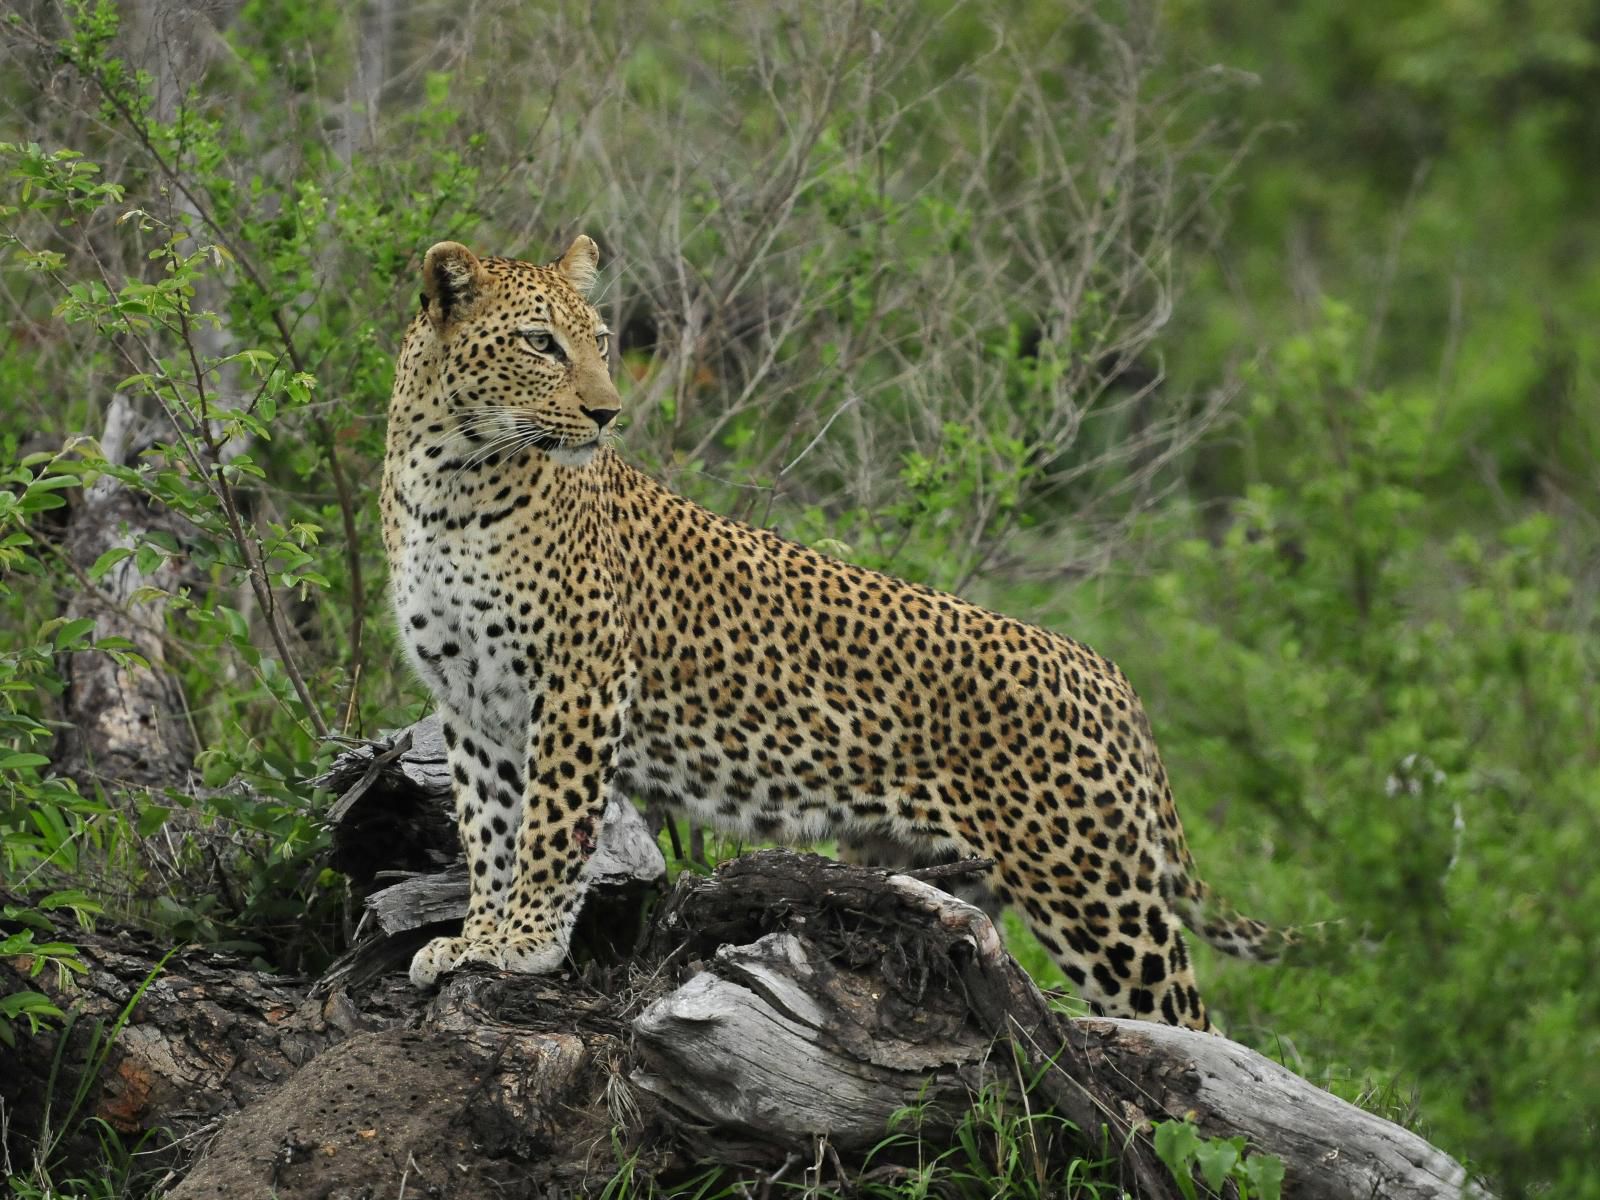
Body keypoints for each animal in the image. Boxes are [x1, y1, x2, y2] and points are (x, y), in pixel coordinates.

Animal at [380, 235, 1292, 1036]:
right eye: (541, 343)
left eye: (599, 342)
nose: (608, 412)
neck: (448, 480)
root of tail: (1108, 672)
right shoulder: (471, 702)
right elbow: (488, 828)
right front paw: (479, 937)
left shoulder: (579, 681)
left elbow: (550, 825)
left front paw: (526, 942)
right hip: (955, 874)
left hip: (1094, 887)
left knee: (1192, 1022)